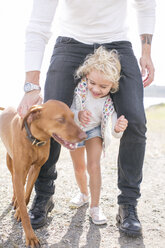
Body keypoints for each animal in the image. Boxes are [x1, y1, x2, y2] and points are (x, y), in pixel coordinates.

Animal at [0, 100, 87, 247]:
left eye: (72, 116)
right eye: (60, 119)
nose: (84, 136)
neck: (35, 139)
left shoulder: (36, 168)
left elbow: (27, 194)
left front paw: (20, 210)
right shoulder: (20, 171)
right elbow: (24, 208)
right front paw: (30, 236)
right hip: (11, 163)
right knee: (13, 180)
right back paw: (14, 199)